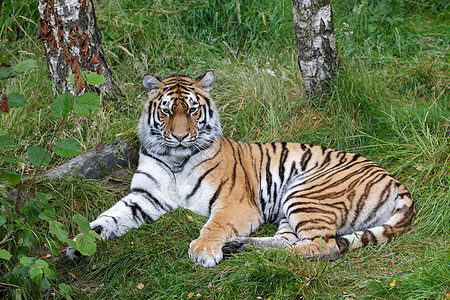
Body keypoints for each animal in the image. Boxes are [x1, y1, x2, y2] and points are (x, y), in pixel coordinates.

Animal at [66, 71, 414, 268]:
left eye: (192, 110)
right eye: (166, 112)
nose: (179, 136)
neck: (175, 157)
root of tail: (396, 182)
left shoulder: (235, 203)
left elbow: (214, 225)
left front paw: (203, 251)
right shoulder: (144, 196)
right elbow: (108, 218)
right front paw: (76, 246)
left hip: (305, 190)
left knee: (325, 247)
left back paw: (245, 250)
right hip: (291, 206)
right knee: (290, 241)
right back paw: (243, 247)